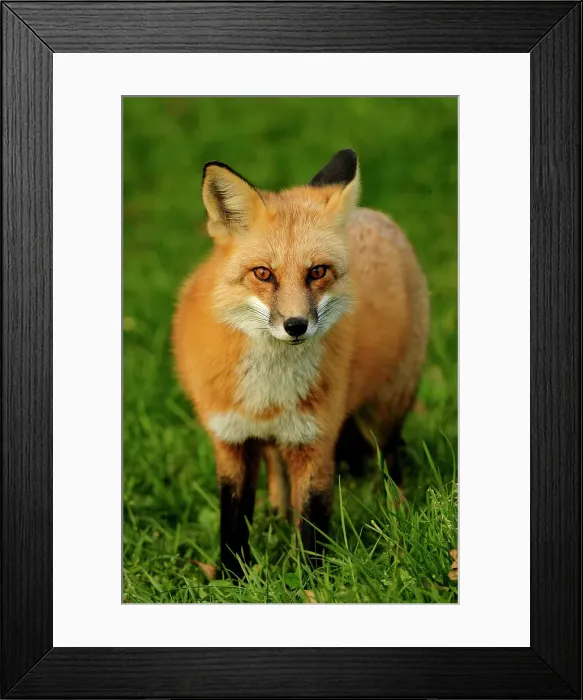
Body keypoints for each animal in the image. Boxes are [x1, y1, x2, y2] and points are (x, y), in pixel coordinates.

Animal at [172, 149, 429, 578]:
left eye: (317, 272)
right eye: (263, 273)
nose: (296, 325)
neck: (269, 392)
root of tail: (377, 216)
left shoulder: (316, 439)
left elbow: (312, 524)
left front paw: (311, 582)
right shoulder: (231, 438)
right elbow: (233, 520)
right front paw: (232, 578)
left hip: (386, 410)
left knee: (390, 460)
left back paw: (397, 513)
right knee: (276, 467)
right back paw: (275, 513)